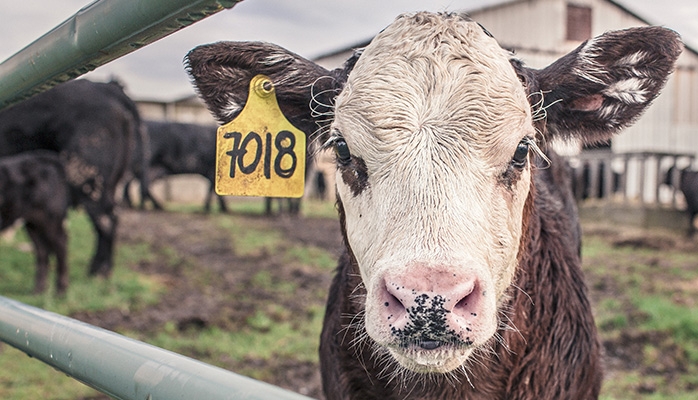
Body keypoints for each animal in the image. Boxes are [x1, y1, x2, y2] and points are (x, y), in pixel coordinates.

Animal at [0, 150, 69, 294]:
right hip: (33, 223)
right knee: (42, 250)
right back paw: (39, 289)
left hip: (51, 219)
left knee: (61, 245)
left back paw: (60, 290)